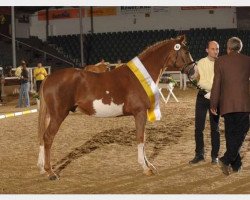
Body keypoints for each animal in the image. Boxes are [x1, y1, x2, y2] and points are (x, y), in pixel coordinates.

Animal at [37, 34, 194, 180]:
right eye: (186, 51)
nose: (193, 71)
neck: (140, 77)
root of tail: (48, 78)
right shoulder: (140, 113)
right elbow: (140, 138)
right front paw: (145, 167)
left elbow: (143, 138)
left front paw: (149, 165)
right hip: (58, 115)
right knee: (48, 137)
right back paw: (50, 172)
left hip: (50, 115)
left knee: (42, 137)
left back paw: (42, 168)